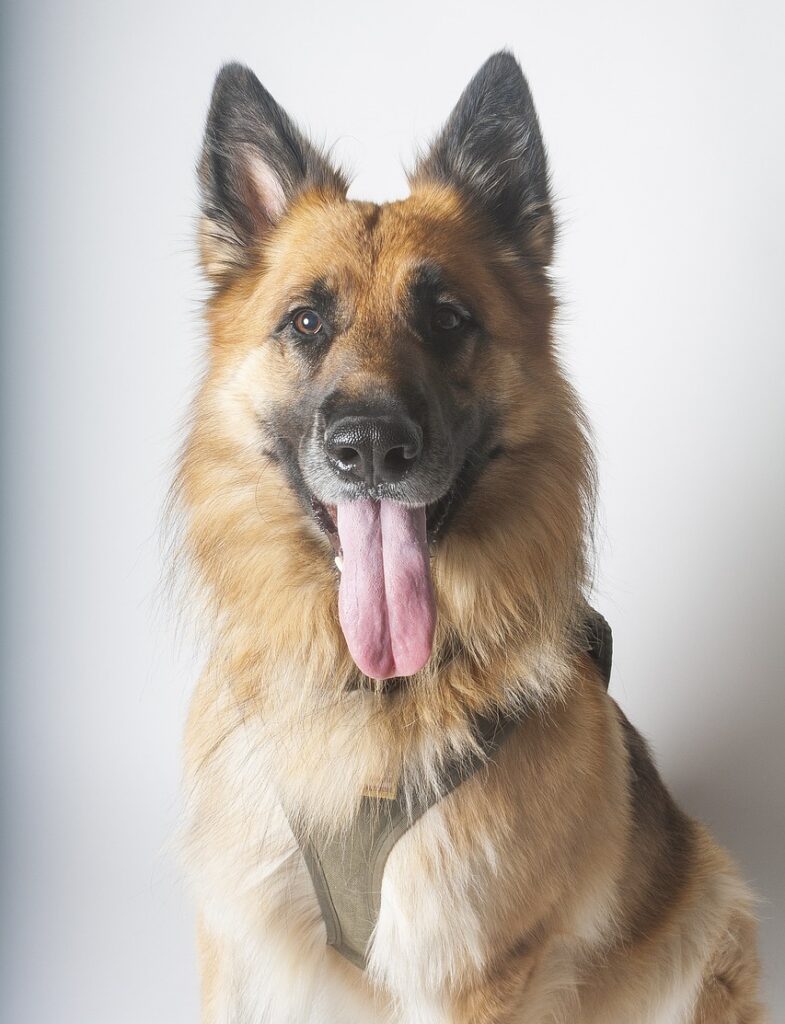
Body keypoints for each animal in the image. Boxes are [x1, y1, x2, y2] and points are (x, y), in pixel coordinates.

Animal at [175, 51, 765, 1019]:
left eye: (446, 318)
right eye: (307, 321)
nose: (370, 447)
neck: (375, 691)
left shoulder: (469, 963)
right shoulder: (239, 943)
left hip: (704, 914)